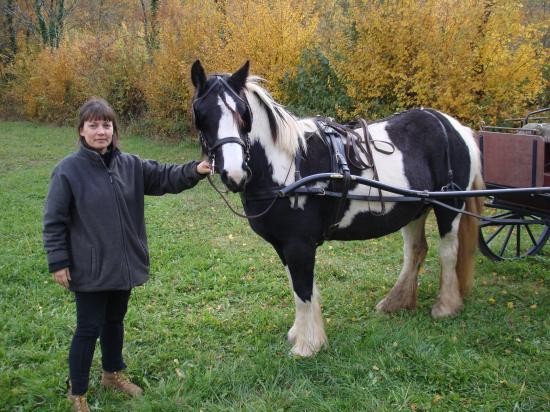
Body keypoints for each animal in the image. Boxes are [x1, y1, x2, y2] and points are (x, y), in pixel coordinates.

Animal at [192, 59, 486, 356]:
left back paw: (445, 306)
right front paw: (300, 334)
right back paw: (396, 302)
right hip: (416, 207)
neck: (289, 167)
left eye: (244, 114)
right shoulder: (284, 245)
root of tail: (454, 126)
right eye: (201, 115)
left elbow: (303, 289)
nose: (235, 173)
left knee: (448, 252)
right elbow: (298, 286)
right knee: (415, 250)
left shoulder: (299, 244)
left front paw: (307, 346)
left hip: (449, 206)